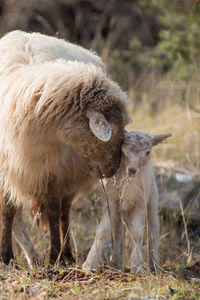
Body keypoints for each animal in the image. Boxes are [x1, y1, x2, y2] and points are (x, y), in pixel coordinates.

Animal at [0, 29, 130, 264]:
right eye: (114, 129)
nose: (113, 170)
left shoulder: (55, 171)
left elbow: (53, 210)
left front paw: (55, 256)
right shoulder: (9, 168)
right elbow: (8, 210)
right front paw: (6, 257)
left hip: (72, 173)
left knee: (64, 210)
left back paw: (66, 254)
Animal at [82, 130, 171, 274]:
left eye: (148, 152)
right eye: (122, 149)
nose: (132, 170)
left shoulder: (140, 203)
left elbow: (137, 234)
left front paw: (137, 267)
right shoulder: (111, 200)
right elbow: (103, 230)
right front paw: (89, 265)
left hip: (152, 198)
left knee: (153, 228)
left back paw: (154, 265)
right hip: (121, 209)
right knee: (118, 231)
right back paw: (115, 262)